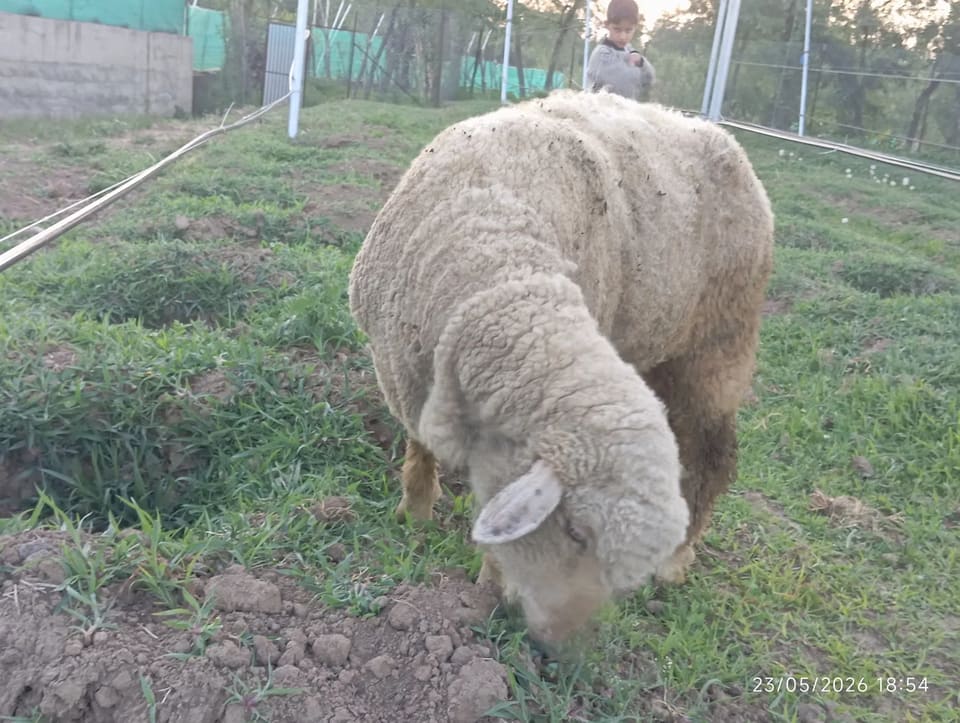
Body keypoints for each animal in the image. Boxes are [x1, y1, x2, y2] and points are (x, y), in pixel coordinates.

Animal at [348, 89, 774, 642]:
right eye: (576, 533)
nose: (557, 635)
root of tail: (729, 143)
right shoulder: (405, 374)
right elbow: (421, 448)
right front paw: (415, 515)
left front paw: (491, 584)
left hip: (720, 341)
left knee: (713, 455)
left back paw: (677, 561)